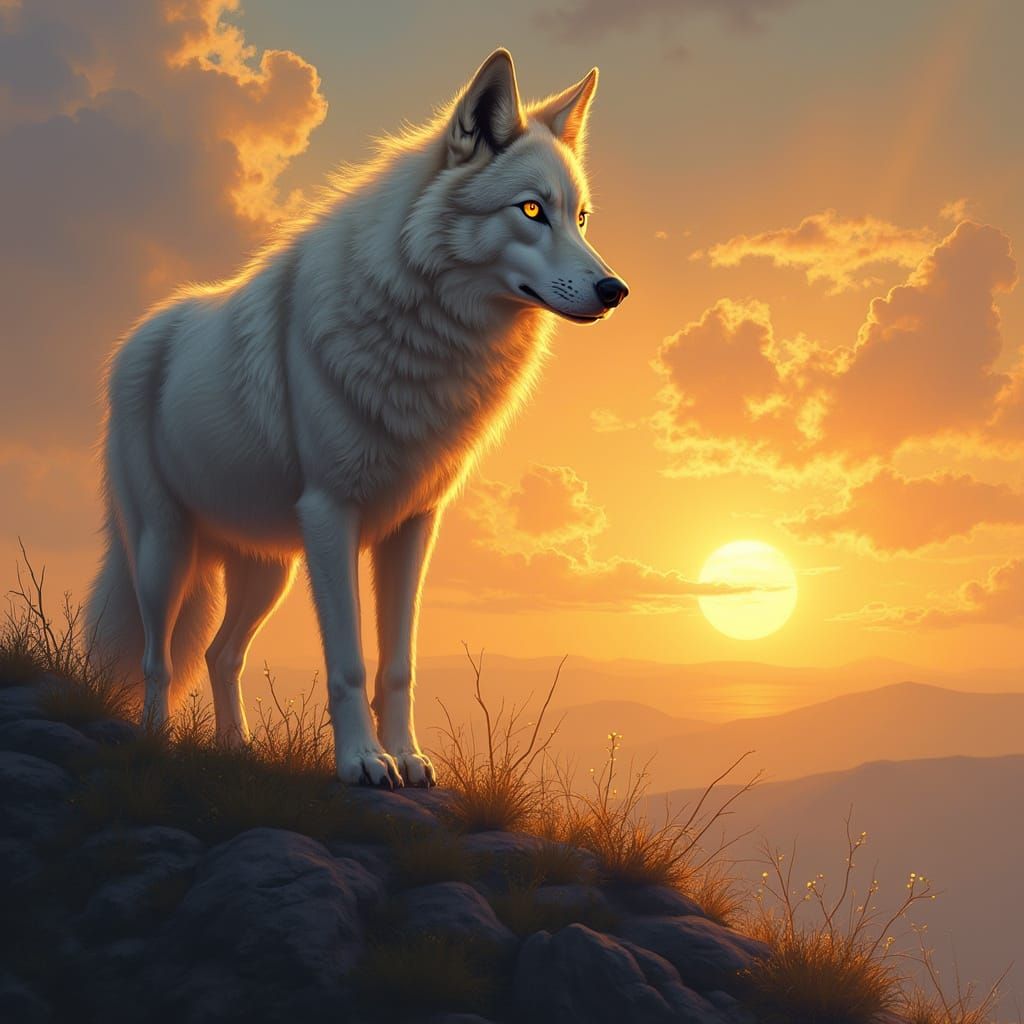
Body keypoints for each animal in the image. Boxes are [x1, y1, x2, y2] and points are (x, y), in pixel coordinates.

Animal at [85, 48, 628, 787]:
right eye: (532, 210)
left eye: (582, 218)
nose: (615, 290)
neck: (427, 337)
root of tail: (136, 336)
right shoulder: (330, 515)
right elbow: (346, 661)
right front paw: (363, 763)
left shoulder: (413, 527)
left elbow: (397, 664)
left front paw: (407, 756)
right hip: (165, 553)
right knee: (158, 657)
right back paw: (156, 741)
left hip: (269, 570)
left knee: (221, 653)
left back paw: (235, 749)